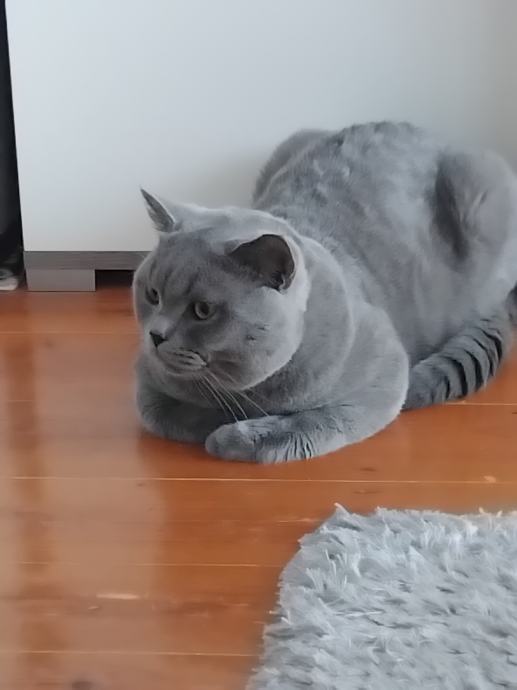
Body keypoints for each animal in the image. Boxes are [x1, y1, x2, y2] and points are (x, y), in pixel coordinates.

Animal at [133, 122, 517, 463]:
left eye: (202, 310)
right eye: (152, 294)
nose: (155, 335)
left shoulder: (384, 377)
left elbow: (314, 421)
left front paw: (236, 434)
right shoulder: (148, 386)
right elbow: (170, 414)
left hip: (479, 188)